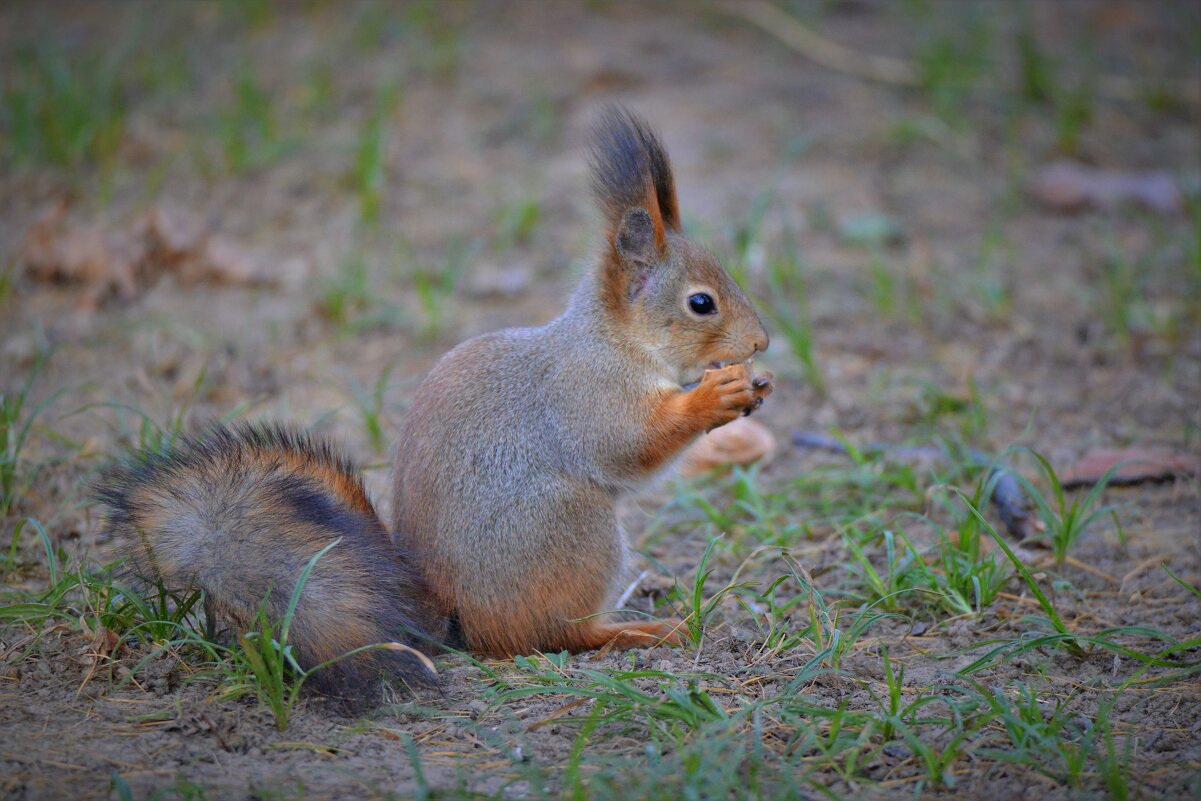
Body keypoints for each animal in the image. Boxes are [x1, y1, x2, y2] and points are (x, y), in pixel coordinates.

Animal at [91, 105, 768, 701]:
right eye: (701, 303)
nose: (762, 342)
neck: (615, 340)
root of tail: (451, 614)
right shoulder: (588, 392)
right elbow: (629, 447)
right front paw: (716, 395)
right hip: (573, 530)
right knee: (549, 633)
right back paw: (641, 630)